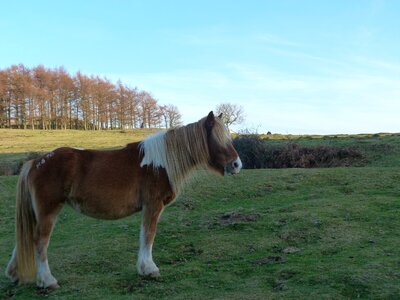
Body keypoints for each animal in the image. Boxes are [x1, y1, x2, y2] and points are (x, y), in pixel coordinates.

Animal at [4, 111, 242, 290]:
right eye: (217, 138)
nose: (237, 164)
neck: (161, 163)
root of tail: (36, 162)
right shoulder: (152, 206)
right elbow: (148, 236)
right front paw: (149, 269)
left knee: (26, 238)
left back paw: (15, 274)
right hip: (48, 211)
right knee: (39, 242)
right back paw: (47, 281)